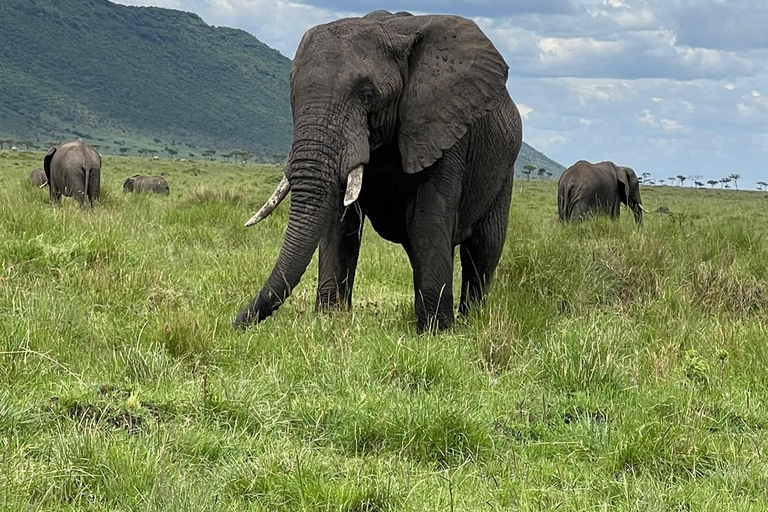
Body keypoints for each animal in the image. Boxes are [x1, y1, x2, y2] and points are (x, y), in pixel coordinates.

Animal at [232, 12, 520, 334]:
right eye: (293, 96)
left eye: (368, 94)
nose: (234, 323)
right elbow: (340, 222)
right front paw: (330, 321)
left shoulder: (442, 126)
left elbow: (427, 219)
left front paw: (436, 333)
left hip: (504, 168)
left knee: (483, 248)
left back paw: (471, 322)